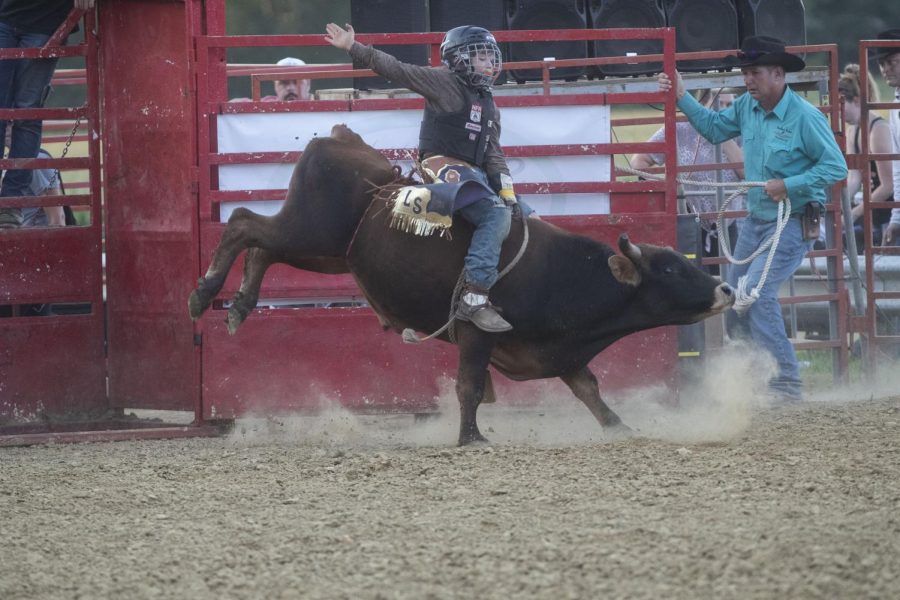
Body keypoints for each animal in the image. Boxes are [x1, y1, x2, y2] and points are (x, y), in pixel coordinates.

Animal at [188, 124, 732, 442]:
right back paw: (203, 294)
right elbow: (469, 385)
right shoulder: (475, 331)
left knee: (261, 246)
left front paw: (622, 429)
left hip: (322, 251)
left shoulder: (562, 353)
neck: (563, 274)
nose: (725, 289)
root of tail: (342, 139)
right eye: (671, 269)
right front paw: (472, 438)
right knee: (241, 223)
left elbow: (589, 390)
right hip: (311, 230)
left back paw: (239, 306)